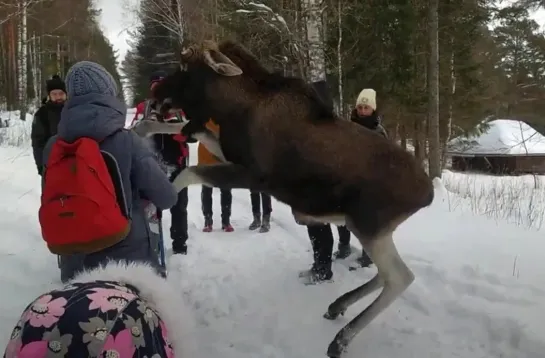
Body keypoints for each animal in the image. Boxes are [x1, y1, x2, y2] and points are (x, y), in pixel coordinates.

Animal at [146, 40, 434, 356]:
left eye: (185, 66)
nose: (155, 94)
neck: (233, 109)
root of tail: (428, 195)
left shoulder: (254, 176)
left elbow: (187, 174)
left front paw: (156, 204)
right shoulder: (228, 153)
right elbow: (190, 130)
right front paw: (143, 127)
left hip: (368, 225)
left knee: (399, 276)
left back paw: (340, 339)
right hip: (372, 230)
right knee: (384, 274)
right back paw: (338, 306)